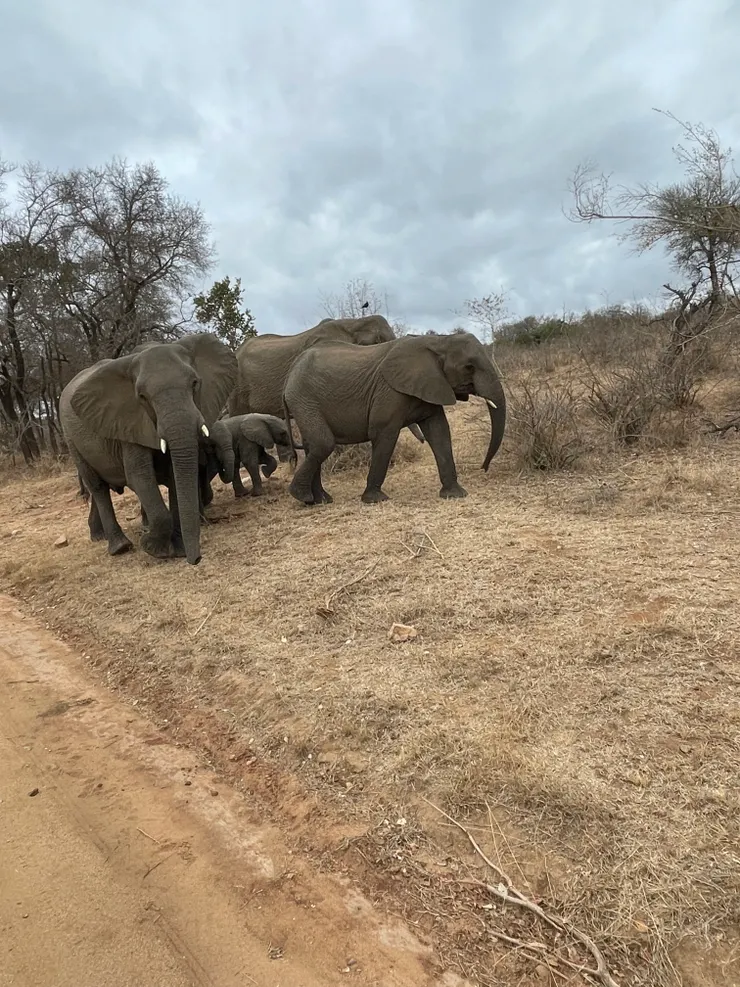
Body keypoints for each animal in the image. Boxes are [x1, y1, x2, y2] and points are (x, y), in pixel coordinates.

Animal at [60, 332, 237, 565]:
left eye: (195, 383)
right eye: (142, 397)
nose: (197, 559)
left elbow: (174, 474)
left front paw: (178, 549)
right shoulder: (128, 422)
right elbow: (139, 477)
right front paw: (154, 547)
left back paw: (101, 536)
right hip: (71, 438)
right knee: (97, 486)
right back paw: (121, 547)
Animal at [282, 330, 506, 505]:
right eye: (469, 367)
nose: (483, 468)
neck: (440, 341)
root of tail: (290, 373)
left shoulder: (431, 385)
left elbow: (439, 431)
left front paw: (455, 495)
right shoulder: (389, 391)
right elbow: (384, 433)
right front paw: (375, 499)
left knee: (312, 446)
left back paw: (319, 500)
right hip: (304, 399)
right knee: (323, 443)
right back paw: (303, 497)